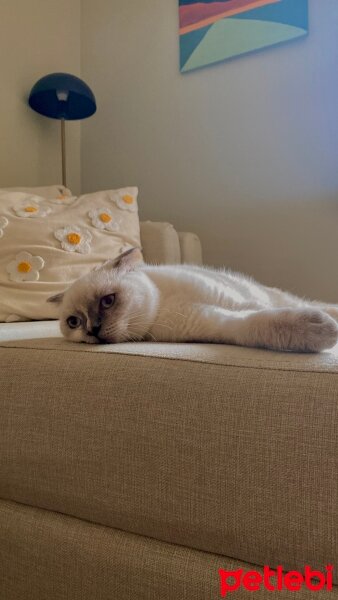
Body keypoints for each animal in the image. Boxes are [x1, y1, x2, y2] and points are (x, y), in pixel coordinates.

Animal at [48, 247, 338, 354]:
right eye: (74, 322)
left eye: (107, 301)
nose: (92, 330)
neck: (164, 305)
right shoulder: (213, 321)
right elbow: (260, 323)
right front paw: (326, 331)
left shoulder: (233, 300)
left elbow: (268, 311)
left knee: (304, 303)